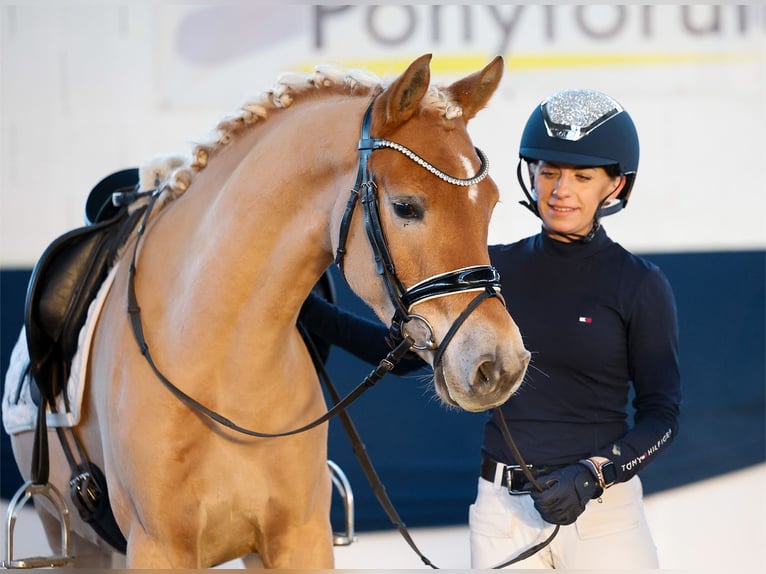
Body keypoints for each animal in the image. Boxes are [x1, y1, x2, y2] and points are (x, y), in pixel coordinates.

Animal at [9, 56, 532, 568]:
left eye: (490, 206)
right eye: (406, 207)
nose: (500, 363)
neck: (220, 367)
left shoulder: (299, 541)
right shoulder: (158, 548)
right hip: (78, 543)